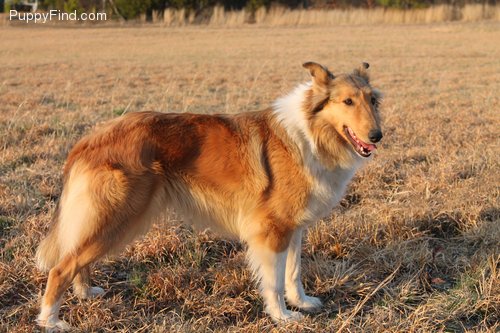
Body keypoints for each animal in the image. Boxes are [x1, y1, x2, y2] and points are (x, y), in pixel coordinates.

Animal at [36, 61, 382, 328]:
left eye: (373, 101)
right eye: (347, 102)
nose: (378, 136)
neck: (310, 133)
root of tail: (89, 138)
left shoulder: (292, 227)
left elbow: (293, 272)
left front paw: (303, 302)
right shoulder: (271, 230)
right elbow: (273, 280)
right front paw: (282, 316)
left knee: (75, 258)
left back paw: (85, 293)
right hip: (118, 215)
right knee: (60, 267)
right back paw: (50, 320)